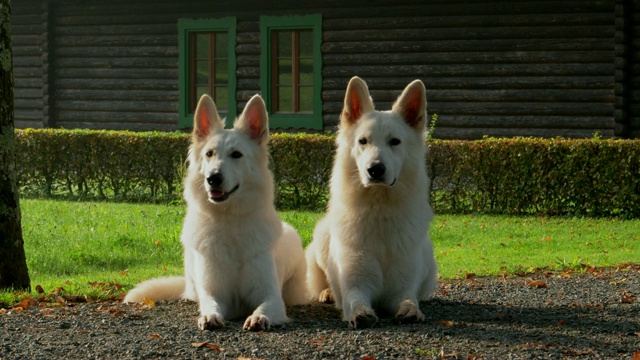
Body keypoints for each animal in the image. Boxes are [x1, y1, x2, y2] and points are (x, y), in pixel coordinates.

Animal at [124, 93, 308, 332]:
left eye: (236, 155)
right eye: (209, 154)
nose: (213, 178)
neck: (228, 222)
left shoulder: (271, 295)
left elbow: (265, 306)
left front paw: (258, 318)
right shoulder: (214, 293)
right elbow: (210, 304)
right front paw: (209, 317)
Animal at [306, 76, 440, 330]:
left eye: (395, 142)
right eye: (363, 141)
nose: (375, 169)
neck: (380, 211)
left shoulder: (401, 288)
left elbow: (409, 298)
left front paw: (411, 310)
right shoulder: (356, 284)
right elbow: (355, 300)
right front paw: (360, 312)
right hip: (321, 238)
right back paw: (327, 292)